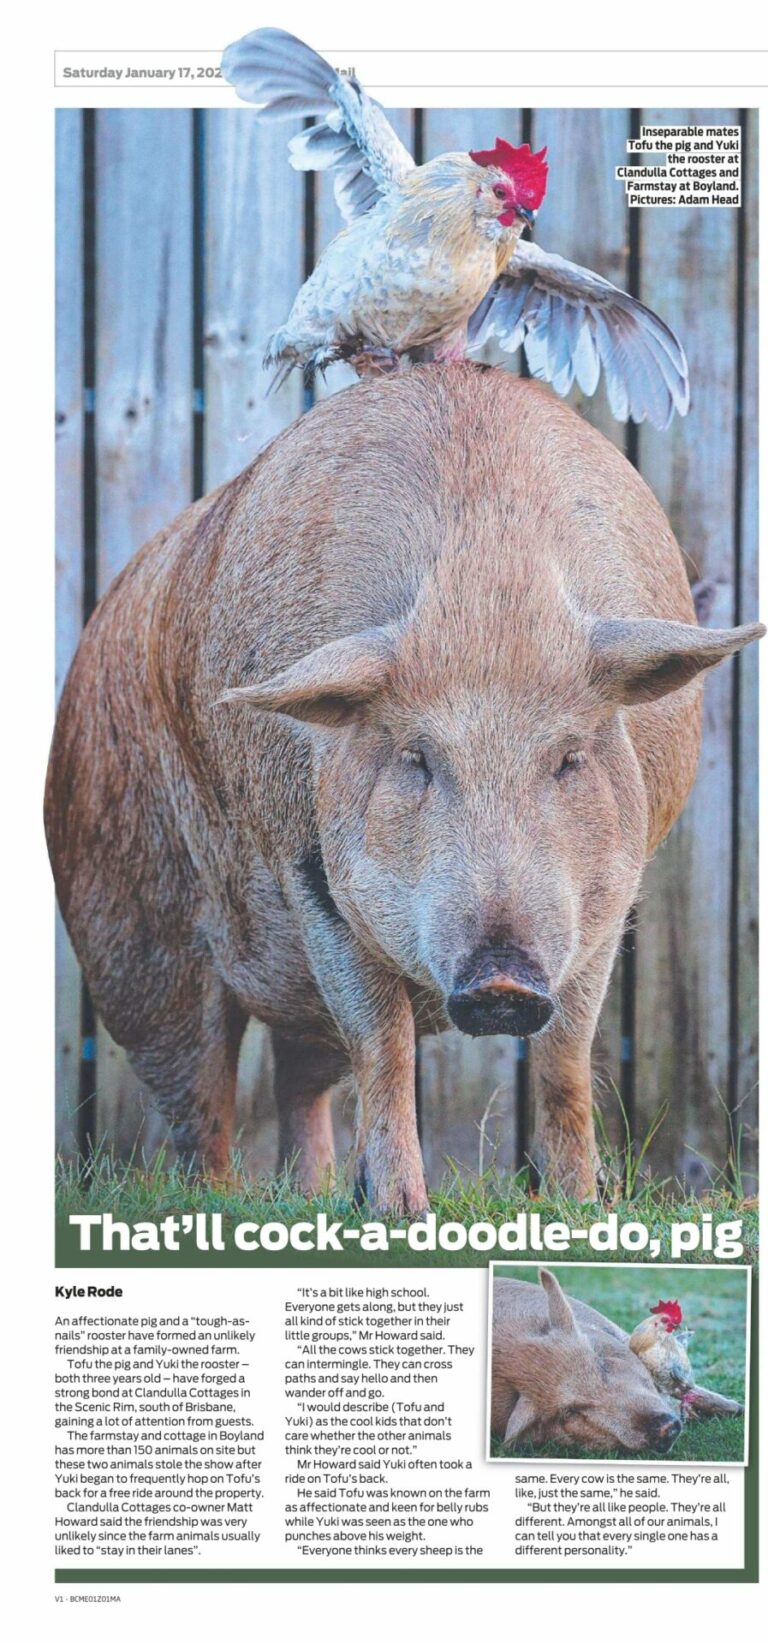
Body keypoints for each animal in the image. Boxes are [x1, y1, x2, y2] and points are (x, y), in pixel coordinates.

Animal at [45, 365, 763, 1214]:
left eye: (569, 758)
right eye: (417, 757)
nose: (501, 978)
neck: (487, 583)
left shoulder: (606, 904)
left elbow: (566, 1054)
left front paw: (576, 1210)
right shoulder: (311, 877)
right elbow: (384, 1044)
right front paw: (402, 1215)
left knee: (299, 1082)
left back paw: (310, 1194)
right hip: (129, 933)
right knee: (200, 1095)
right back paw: (218, 1203)